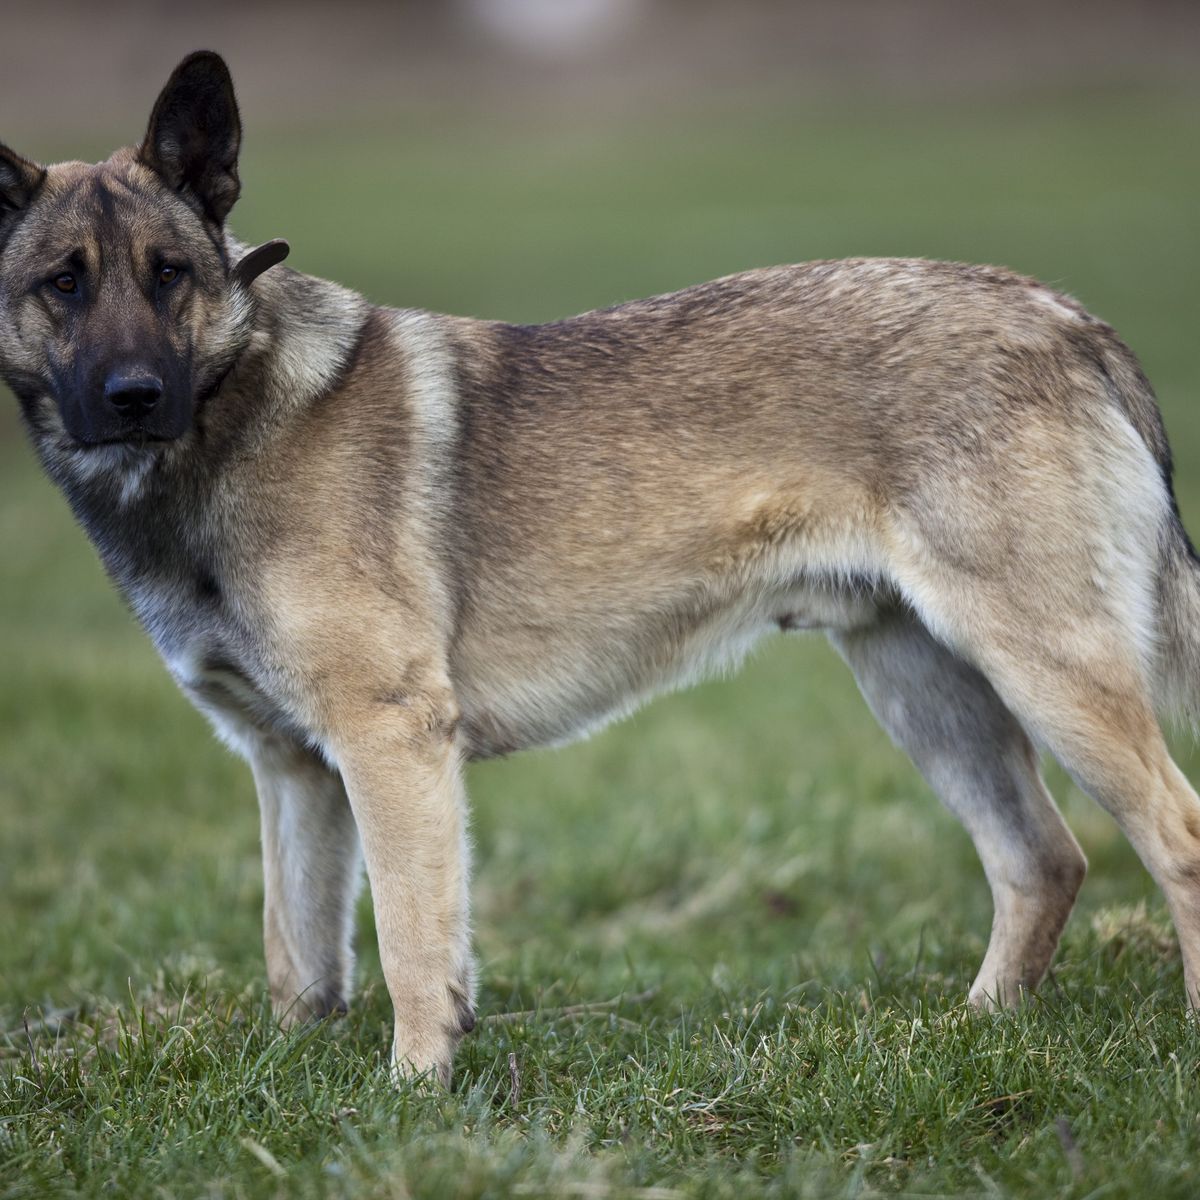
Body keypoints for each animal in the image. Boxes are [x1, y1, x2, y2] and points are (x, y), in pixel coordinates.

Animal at [7, 49, 1200, 1089]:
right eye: (60, 285)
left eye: (170, 275)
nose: (132, 397)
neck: (231, 412)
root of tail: (1069, 319)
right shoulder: (291, 769)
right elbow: (298, 957)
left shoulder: (391, 746)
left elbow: (411, 946)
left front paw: (413, 1094)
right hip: (927, 690)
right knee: (1043, 861)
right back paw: (971, 1032)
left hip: (1047, 673)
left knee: (1175, 840)